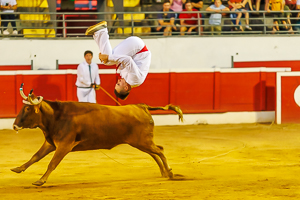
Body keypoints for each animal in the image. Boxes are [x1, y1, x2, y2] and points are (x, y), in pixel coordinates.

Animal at [11, 84, 183, 186]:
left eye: (28, 109)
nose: (14, 125)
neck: (56, 117)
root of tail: (142, 106)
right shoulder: (50, 143)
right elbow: (35, 156)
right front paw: (18, 168)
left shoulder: (64, 145)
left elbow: (52, 163)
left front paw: (41, 180)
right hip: (140, 142)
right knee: (155, 153)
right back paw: (164, 172)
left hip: (142, 141)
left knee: (159, 150)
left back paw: (170, 172)